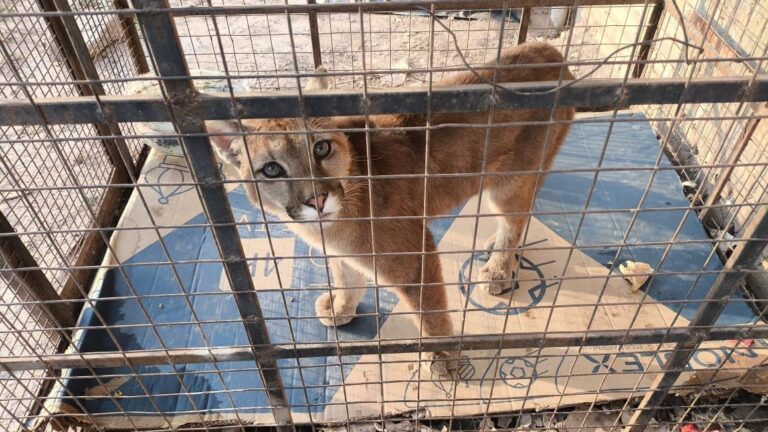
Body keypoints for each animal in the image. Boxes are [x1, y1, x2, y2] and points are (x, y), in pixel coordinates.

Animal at [207, 42, 572, 376]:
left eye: (321, 148)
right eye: (272, 170)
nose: (317, 200)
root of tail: (549, 50)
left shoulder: (414, 257)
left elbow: (430, 311)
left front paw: (444, 358)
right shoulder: (342, 252)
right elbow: (348, 277)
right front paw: (341, 306)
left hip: (510, 183)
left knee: (515, 219)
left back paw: (498, 267)